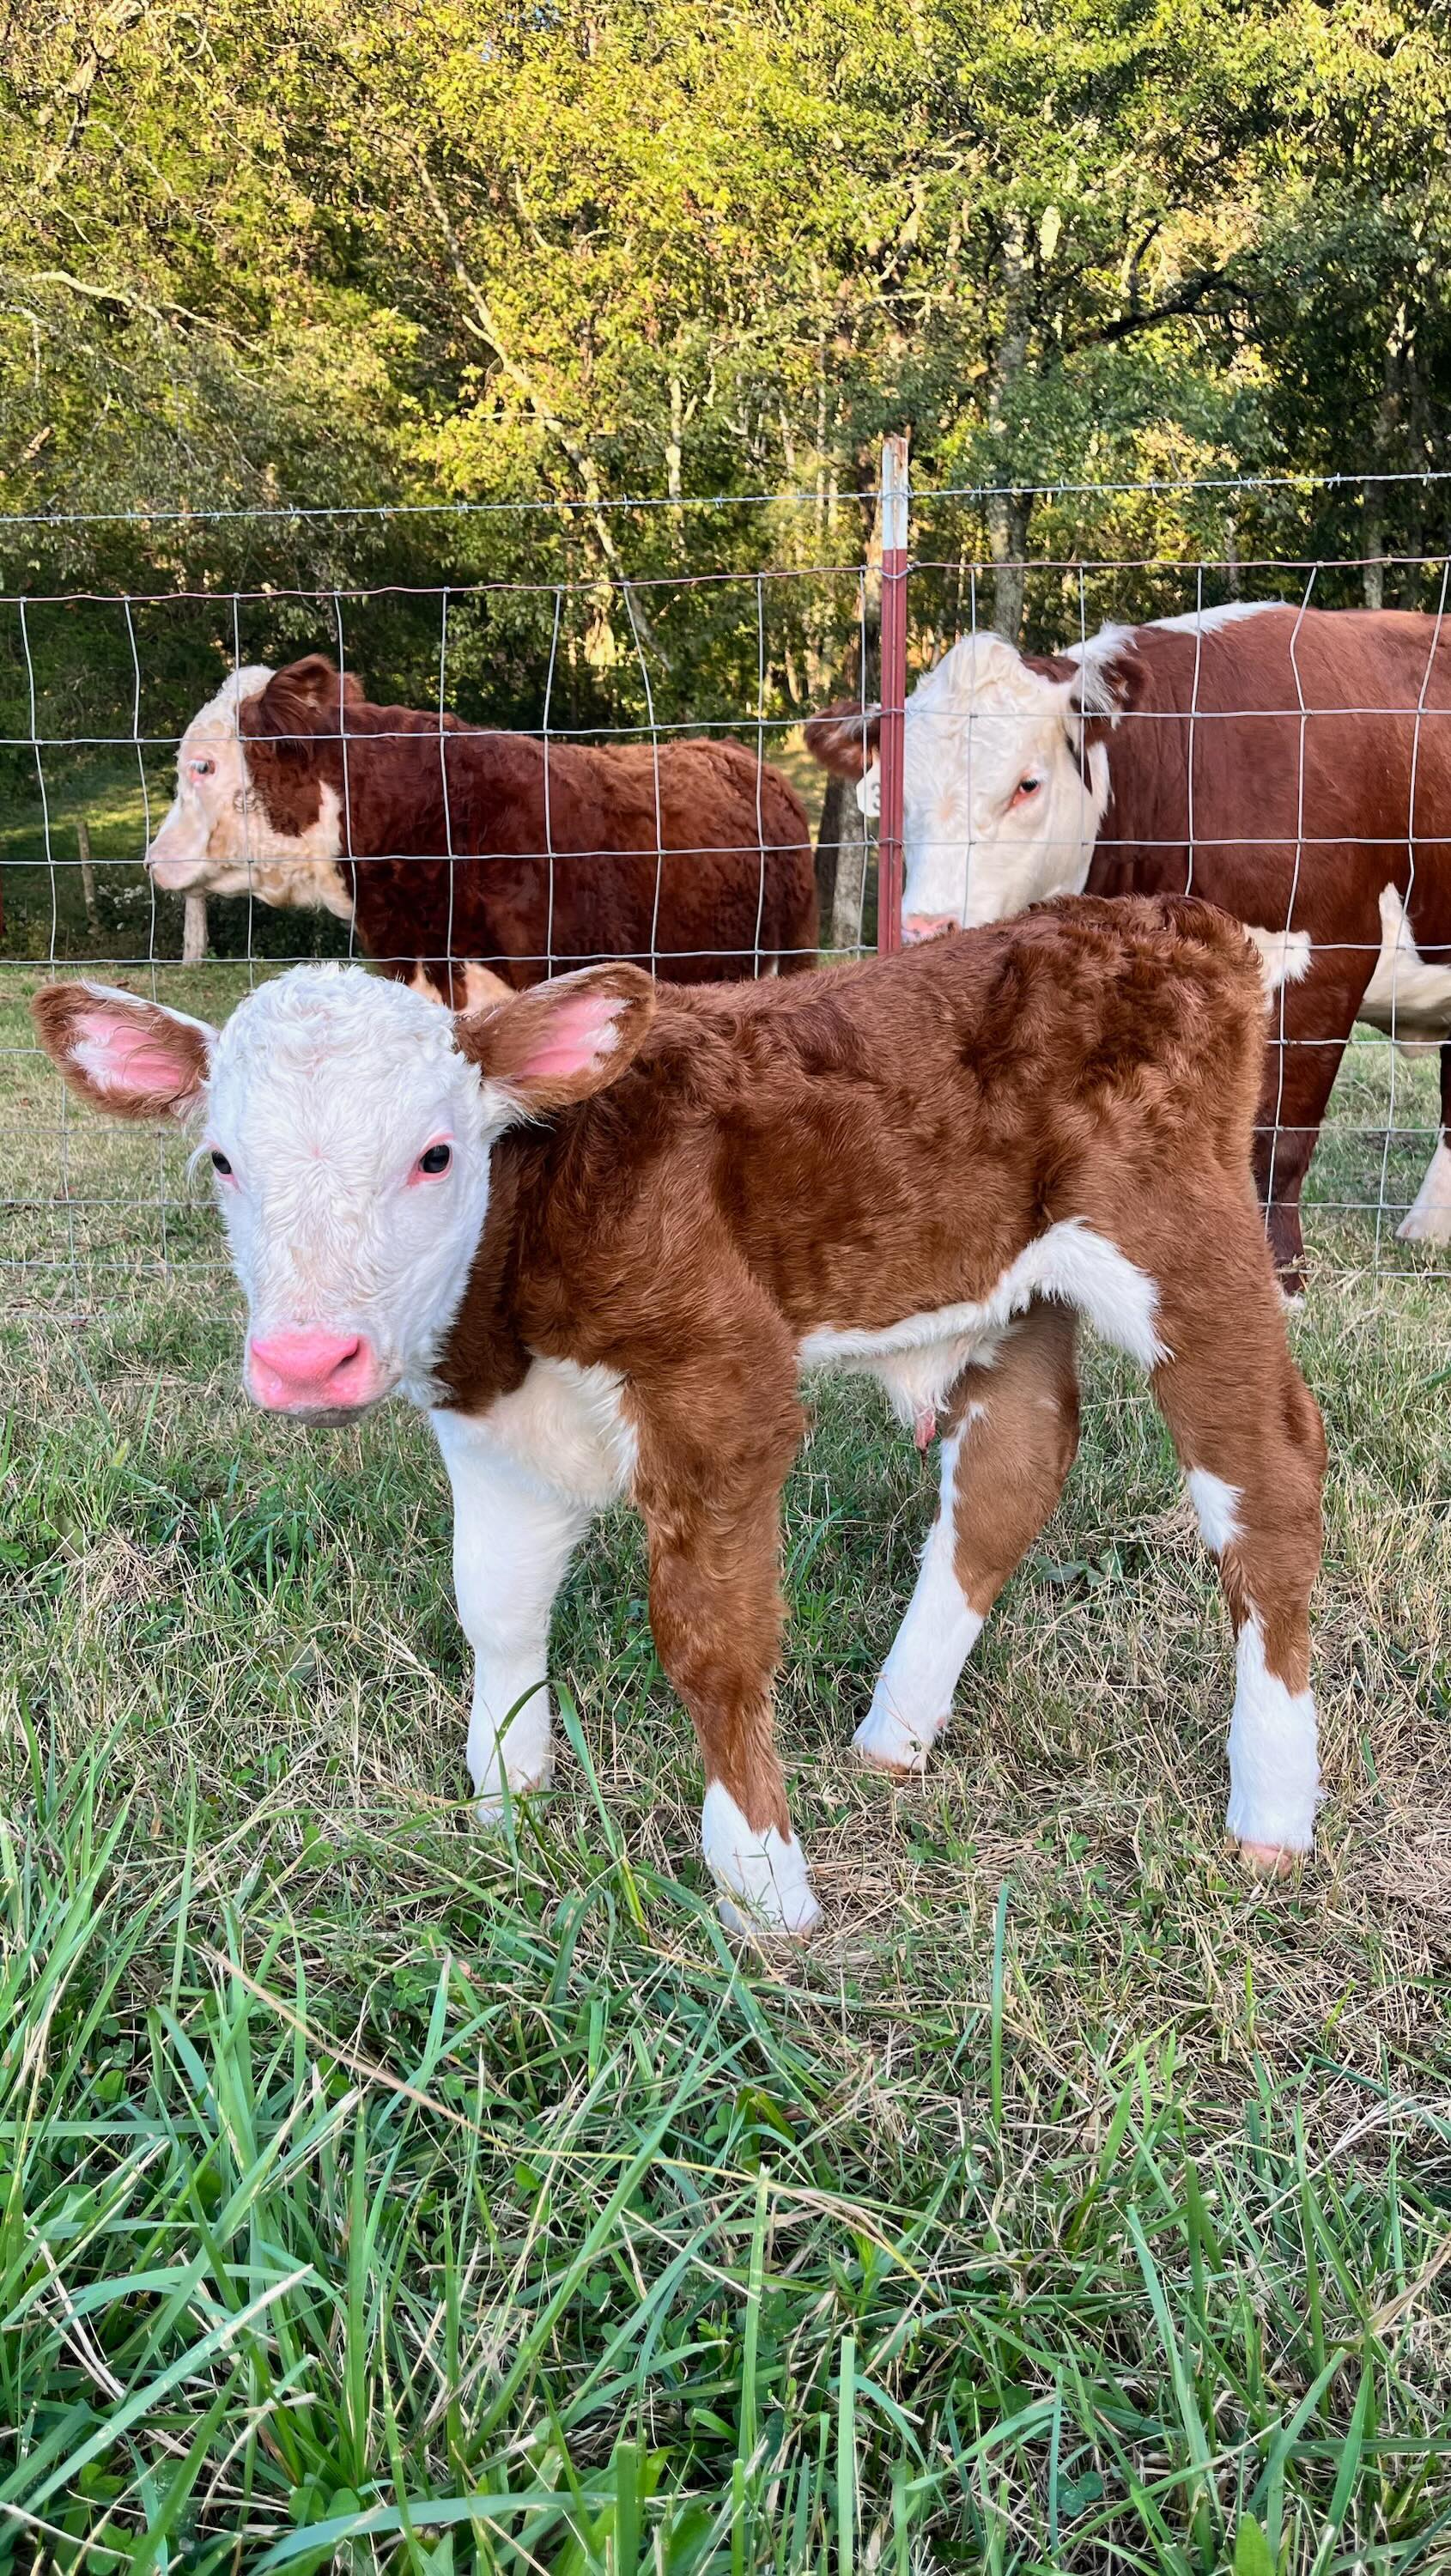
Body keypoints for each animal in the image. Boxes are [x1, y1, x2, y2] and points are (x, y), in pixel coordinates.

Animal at [33, 893, 1326, 1931]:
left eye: (436, 1155)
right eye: (221, 1162)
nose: (307, 1360)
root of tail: (1160, 916)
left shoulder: (723, 1384)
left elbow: (710, 1641)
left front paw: (762, 1884)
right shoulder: (489, 1428)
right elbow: (494, 1606)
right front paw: (507, 1794)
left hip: (1185, 1238)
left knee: (1265, 1478)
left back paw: (1270, 1811)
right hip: (1014, 1291)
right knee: (1011, 1469)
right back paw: (893, 1737)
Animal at [806, 604, 1451, 1286]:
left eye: (1028, 785)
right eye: (893, 796)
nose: (926, 929)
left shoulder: (1323, 963)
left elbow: (1276, 1134)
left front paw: (1276, 1277)